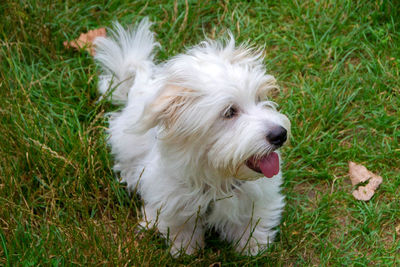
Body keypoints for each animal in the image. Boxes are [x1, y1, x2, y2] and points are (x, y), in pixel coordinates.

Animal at [95, 18, 292, 258]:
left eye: (259, 98)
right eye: (229, 112)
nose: (280, 134)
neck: (218, 178)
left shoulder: (257, 196)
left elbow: (253, 220)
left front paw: (254, 246)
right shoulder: (172, 197)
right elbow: (180, 224)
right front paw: (185, 249)